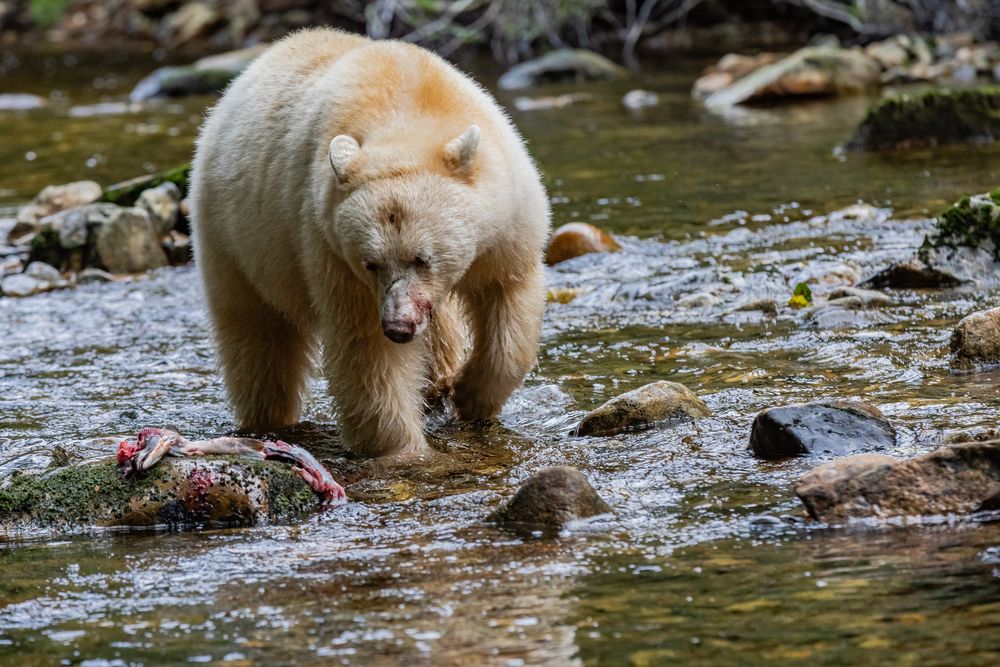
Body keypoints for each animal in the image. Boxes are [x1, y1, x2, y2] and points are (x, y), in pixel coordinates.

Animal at [188, 31, 548, 460]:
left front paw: (470, 394)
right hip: (235, 239)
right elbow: (367, 352)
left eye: (422, 258)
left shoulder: (506, 223)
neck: (407, 110)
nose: (398, 326)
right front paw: (402, 449)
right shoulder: (328, 246)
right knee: (256, 337)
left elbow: (507, 300)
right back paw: (268, 419)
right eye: (370, 263)